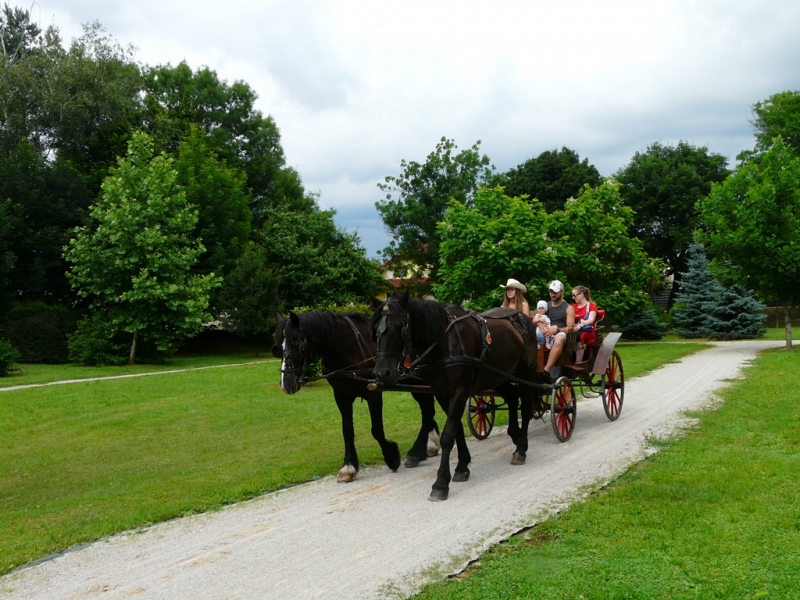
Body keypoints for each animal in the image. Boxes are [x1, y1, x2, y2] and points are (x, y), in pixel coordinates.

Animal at [274, 310, 438, 482]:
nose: (285, 385)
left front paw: (391, 457)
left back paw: (417, 451)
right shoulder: (341, 396)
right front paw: (349, 466)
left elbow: (376, 429)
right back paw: (428, 446)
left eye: (297, 344)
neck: (348, 348)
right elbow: (347, 430)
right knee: (427, 411)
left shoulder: (373, 393)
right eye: (278, 346)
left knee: (427, 412)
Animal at [370, 292, 544, 502]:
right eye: (376, 330)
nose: (382, 373)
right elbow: (457, 429)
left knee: (525, 407)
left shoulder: (459, 393)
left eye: (399, 326)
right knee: (511, 398)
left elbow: (447, 436)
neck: (444, 342)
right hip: (497, 375)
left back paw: (521, 449)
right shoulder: (442, 394)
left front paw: (440, 483)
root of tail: (523, 317)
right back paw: (515, 435)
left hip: (526, 373)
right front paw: (462, 466)